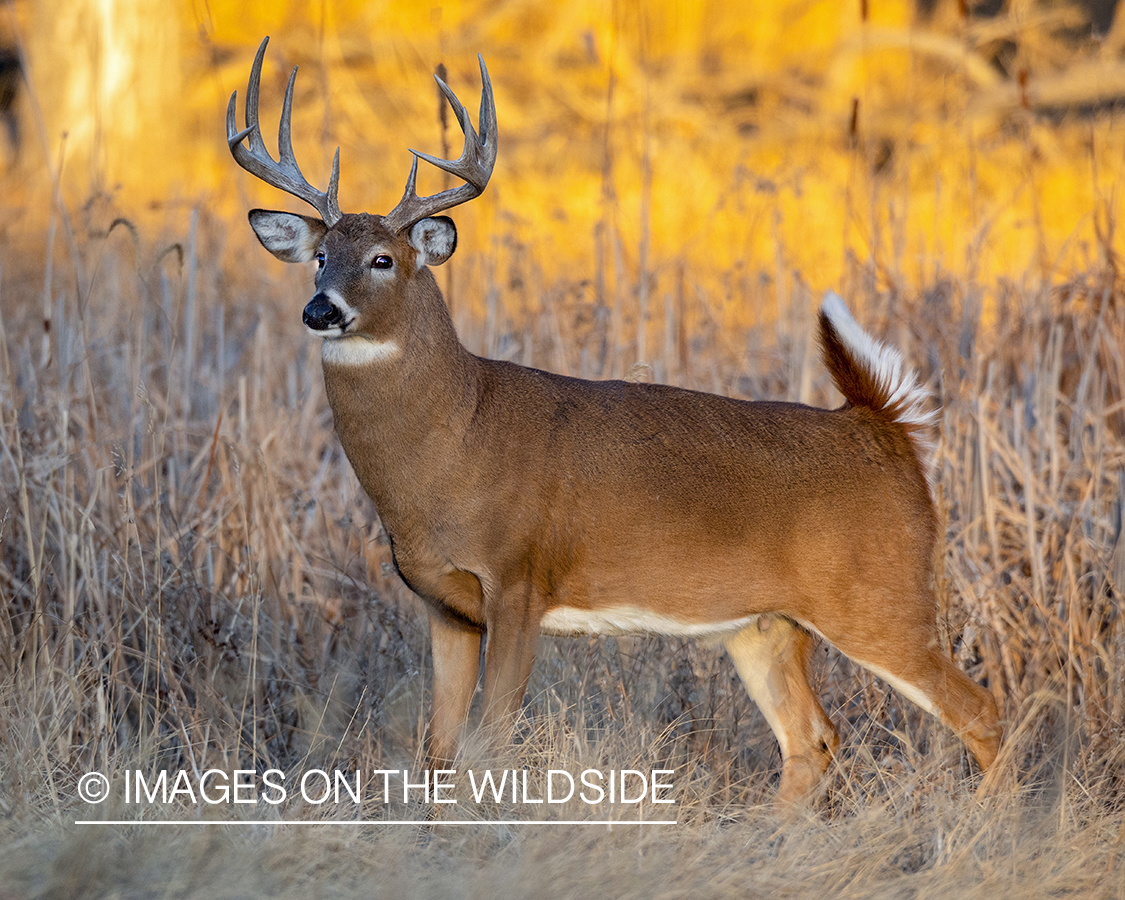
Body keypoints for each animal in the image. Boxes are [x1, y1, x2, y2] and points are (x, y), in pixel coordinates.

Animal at [228, 38, 1003, 805]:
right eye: (319, 257)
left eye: (383, 258)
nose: (320, 309)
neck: (458, 434)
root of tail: (884, 428)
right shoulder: (445, 604)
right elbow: (438, 750)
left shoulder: (520, 579)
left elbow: (489, 740)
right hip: (765, 623)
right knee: (812, 736)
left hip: (881, 595)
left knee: (980, 711)